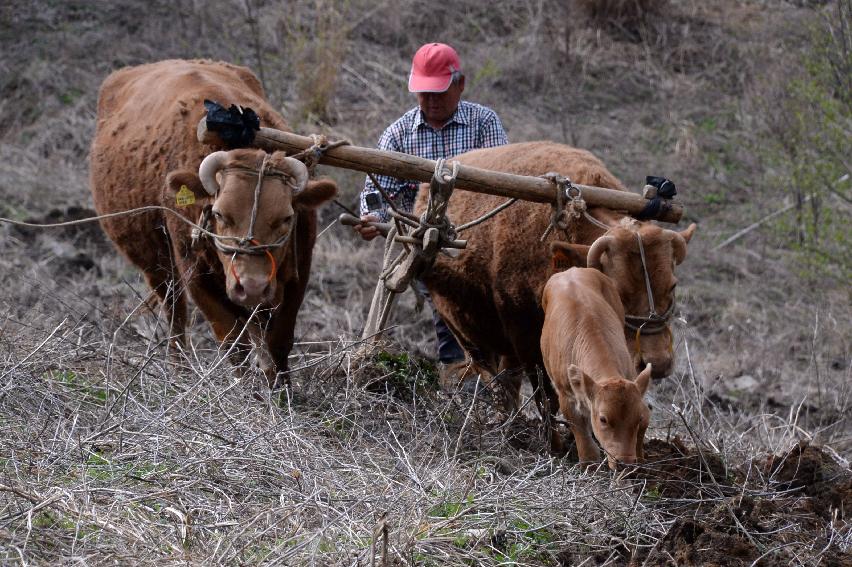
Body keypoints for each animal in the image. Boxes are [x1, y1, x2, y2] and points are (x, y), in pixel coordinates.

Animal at [540, 268, 652, 468]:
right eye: (603, 419)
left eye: (637, 418)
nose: (625, 462)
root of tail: (572, 270)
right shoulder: (566, 394)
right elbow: (586, 446)